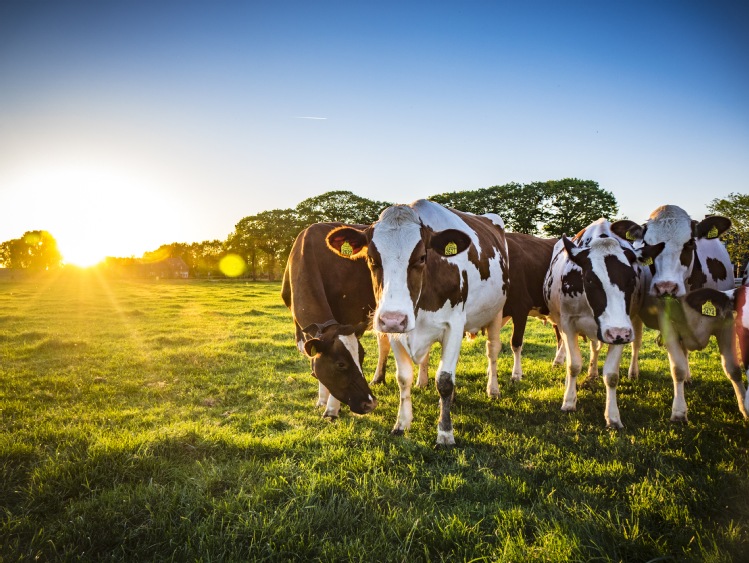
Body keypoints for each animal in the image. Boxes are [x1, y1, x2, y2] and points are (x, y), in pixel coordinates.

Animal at [280, 223, 380, 420]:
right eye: (340, 364)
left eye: (362, 357)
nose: (370, 404)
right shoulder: (301, 329)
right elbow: (313, 358)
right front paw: (321, 401)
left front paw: (332, 410)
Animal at [322, 200, 508, 448]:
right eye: (372, 259)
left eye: (421, 257)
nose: (393, 318)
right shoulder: (397, 331)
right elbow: (403, 378)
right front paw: (402, 423)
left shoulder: (454, 325)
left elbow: (445, 380)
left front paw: (445, 432)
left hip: (497, 312)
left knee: (492, 350)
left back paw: (493, 389)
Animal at [540, 219, 640, 428]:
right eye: (590, 279)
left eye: (631, 279)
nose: (617, 333)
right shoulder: (568, 324)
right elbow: (573, 365)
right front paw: (569, 401)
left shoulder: (621, 329)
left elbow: (611, 375)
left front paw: (613, 416)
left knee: (599, 348)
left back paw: (596, 373)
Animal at [608, 205, 744, 420]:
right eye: (648, 244)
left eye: (689, 243)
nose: (666, 287)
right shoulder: (667, 324)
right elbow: (677, 368)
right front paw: (679, 411)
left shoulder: (727, 321)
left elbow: (733, 369)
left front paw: (745, 408)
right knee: (636, 343)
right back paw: (633, 372)